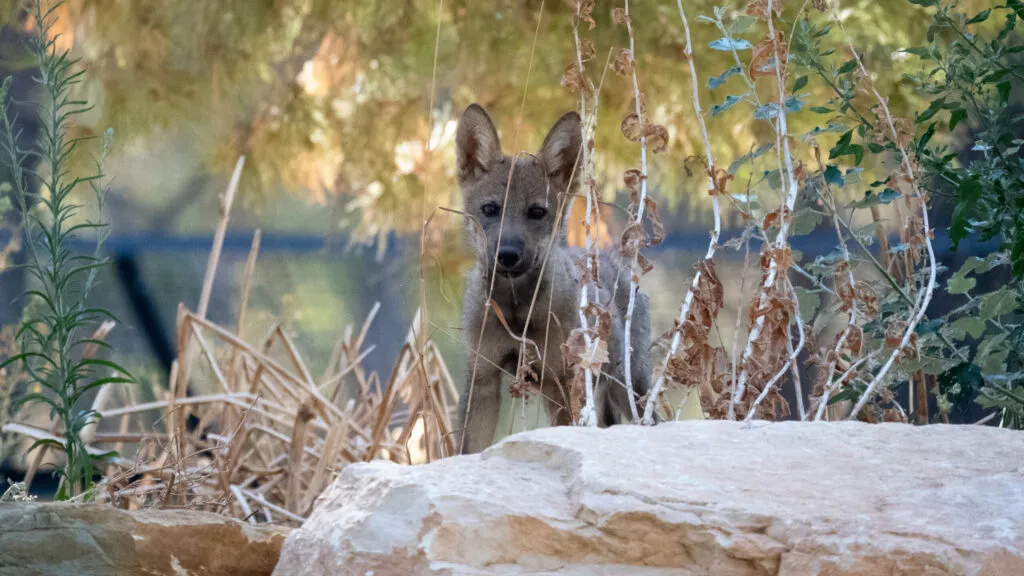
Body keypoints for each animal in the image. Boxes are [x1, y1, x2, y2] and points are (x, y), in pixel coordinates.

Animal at [453, 103, 653, 455]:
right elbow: (465, 449)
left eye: (537, 212)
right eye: (489, 209)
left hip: (626, 387)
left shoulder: (564, 380)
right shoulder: (483, 376)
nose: (507, 254)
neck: (518, 314)